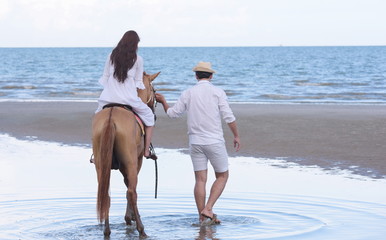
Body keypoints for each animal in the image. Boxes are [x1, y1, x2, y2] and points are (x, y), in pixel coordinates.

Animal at [91, 71, 159, 236]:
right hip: (131, 162)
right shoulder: (137, 161)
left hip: (101, 166)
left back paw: (107, 230)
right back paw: (141, 229)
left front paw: (130, 216)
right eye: (154, 91)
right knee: (131, 192)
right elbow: (130, 186)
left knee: (105, 195)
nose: (154, 115)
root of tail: (111, 118)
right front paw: (131, 217)